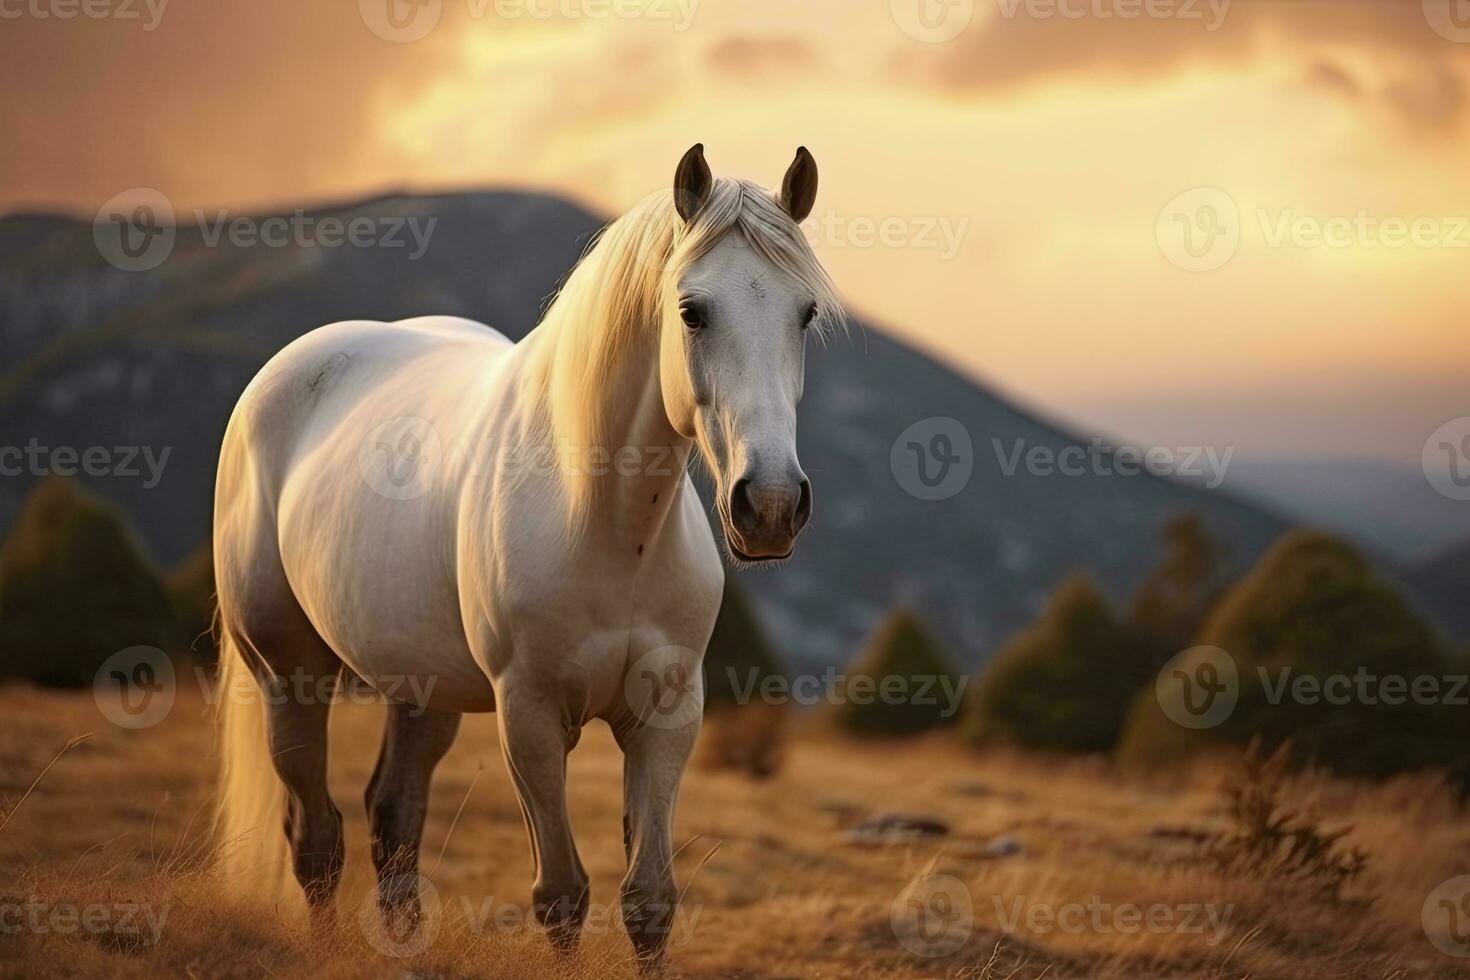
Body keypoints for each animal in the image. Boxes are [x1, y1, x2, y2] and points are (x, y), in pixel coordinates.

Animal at [213, 147, 846, 963]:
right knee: (316, 837)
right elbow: (562, 899)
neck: (608, 526)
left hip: (421, 690)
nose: (768, 507)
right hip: (288, 674)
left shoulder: (668, 715)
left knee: (393, 818)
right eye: (691, 312)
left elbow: (649, 900)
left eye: (805, 313)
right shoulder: (530, 716)